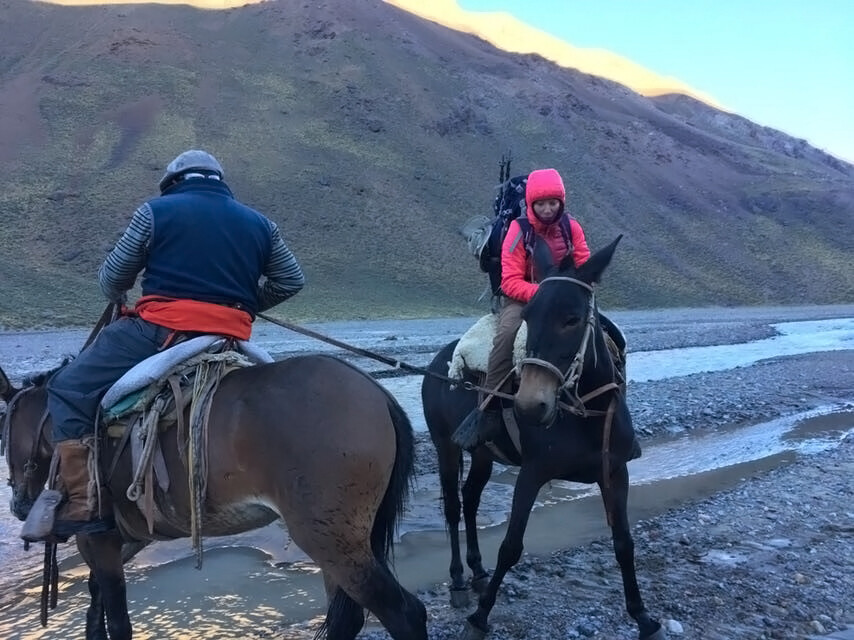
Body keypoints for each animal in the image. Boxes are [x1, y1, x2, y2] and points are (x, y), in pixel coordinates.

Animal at [0, 352, 428, 636]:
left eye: (3, 427)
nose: (19, 505)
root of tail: (377, 394)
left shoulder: (98, 540)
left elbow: (116, 617)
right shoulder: (121, 541)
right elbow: (95, 604)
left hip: (333, 541)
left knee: (404, 613)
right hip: (340, 544)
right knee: (348, 617)